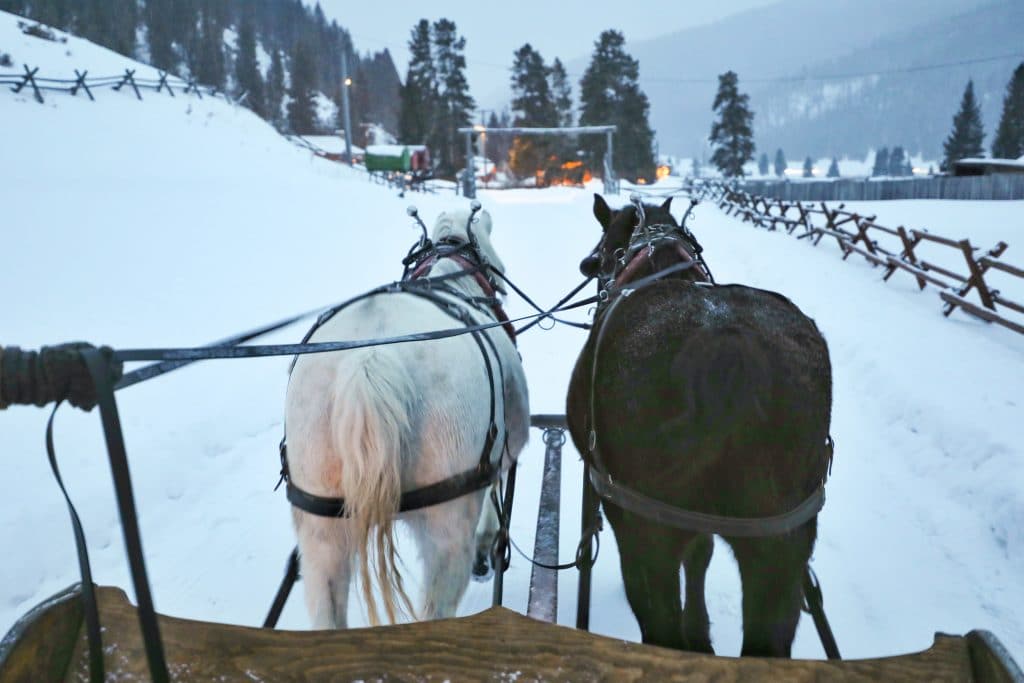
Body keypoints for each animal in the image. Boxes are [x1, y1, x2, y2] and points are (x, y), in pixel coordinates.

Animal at [566, 194, 833, 657]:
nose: (588, 262)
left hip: (646, 531)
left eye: (606, 245)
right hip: (780, 547)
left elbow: (696, 555)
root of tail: (728, 349)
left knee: (658, 621)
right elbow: (703, 552)